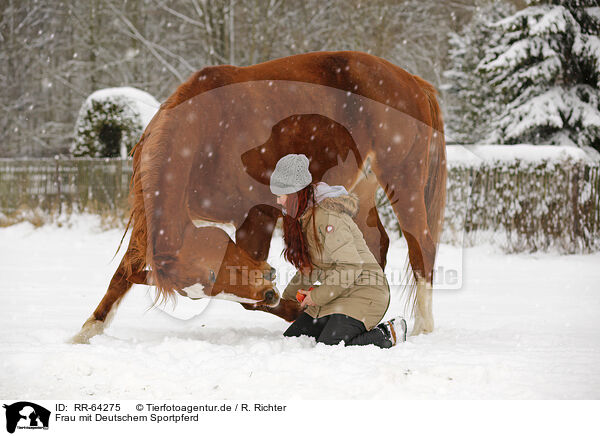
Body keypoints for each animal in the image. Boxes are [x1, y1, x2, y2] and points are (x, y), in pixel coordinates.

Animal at [70, 51, 446, 344]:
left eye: (211, 276)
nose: (267, 284)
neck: (208, 129)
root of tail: (412, 81)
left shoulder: (258, 215)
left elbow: (254, 302)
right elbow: (123, 273)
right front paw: (88, 330)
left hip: (403, 183)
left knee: (421, 248)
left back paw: (424, 326)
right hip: (361, 191)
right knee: (375, 244)